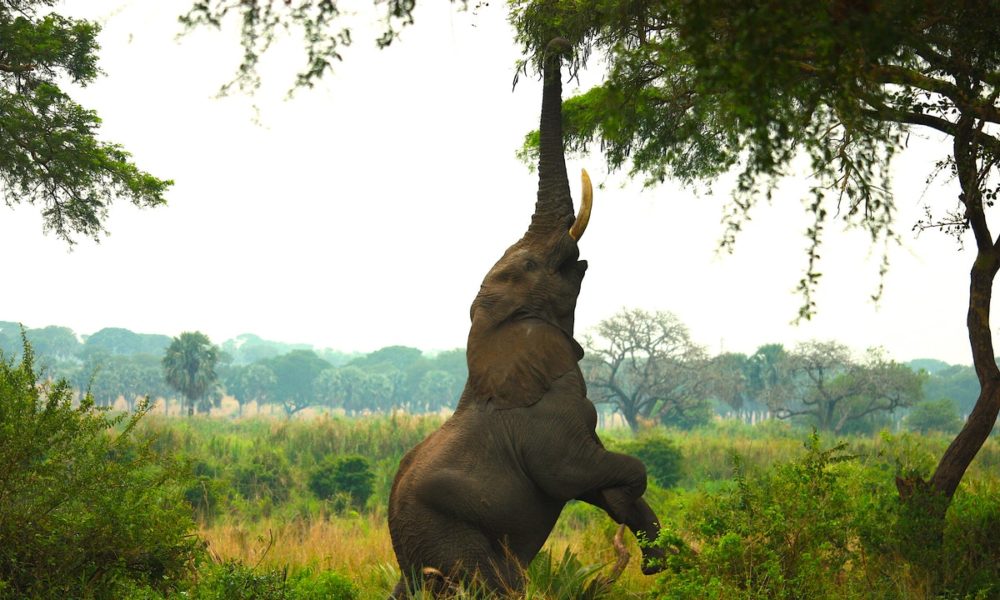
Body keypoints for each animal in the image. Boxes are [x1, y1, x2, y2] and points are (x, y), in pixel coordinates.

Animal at [387, 38, 665, 597]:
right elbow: (580, 472)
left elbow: (600, 483)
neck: (495, 331)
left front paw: (661, 557)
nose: (557, 44)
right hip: (453, 539)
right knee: (496, 582)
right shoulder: (548, 427)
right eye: (534, 266)